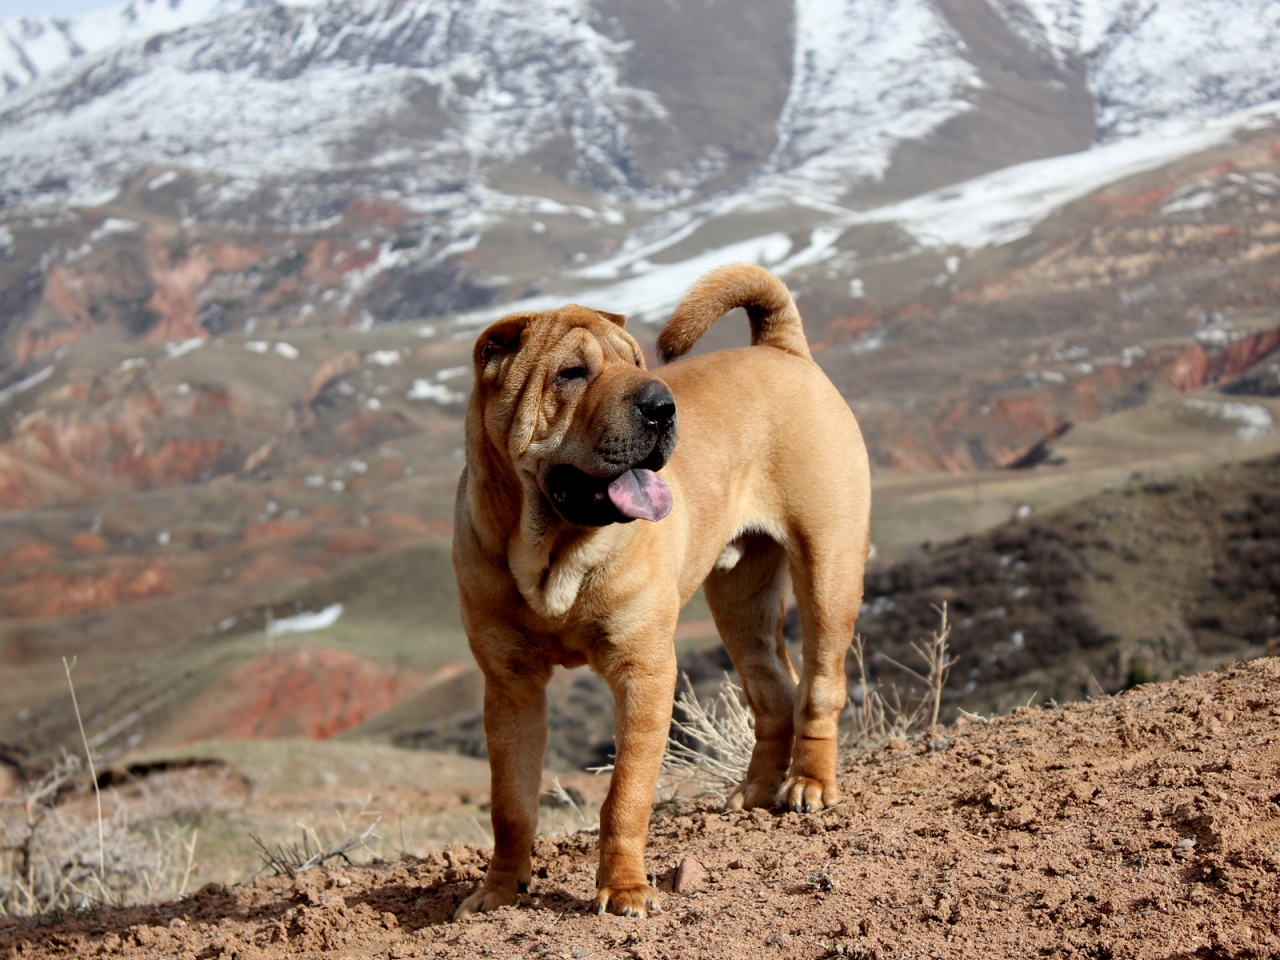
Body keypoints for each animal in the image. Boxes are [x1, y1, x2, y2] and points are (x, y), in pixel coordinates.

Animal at [450, 261, 870, 916]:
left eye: (637, 363)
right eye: (571, 373)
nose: (661, 406)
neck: (553, 553)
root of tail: (782, 350)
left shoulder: (642, 670)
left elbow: (625, 794)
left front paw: (624, 890)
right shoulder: (511, 686)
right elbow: (510, 804)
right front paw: (496, 893)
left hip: (829, 570)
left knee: (821, 685)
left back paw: (809, 784)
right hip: (740, 602)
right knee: (774, 692)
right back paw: (753, 793)